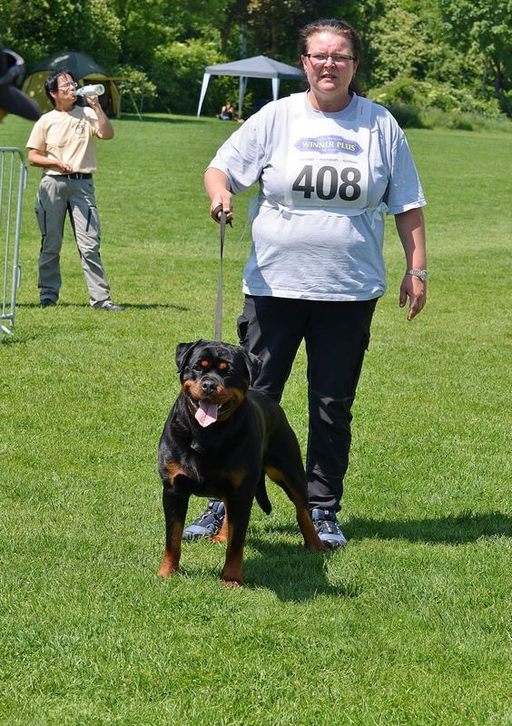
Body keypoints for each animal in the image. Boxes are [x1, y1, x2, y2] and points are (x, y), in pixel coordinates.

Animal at [156, 340, 326, 584]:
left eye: (228, 372)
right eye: (198, 367)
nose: (209, 385)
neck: (206, 433)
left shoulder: (242, 491)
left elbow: (237, 544)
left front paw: (232, 579)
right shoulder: (173, 489)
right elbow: (172, 538)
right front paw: (167, 572)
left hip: (288, 469)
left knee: (302, 508)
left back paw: (316, 543)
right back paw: (222, 535)